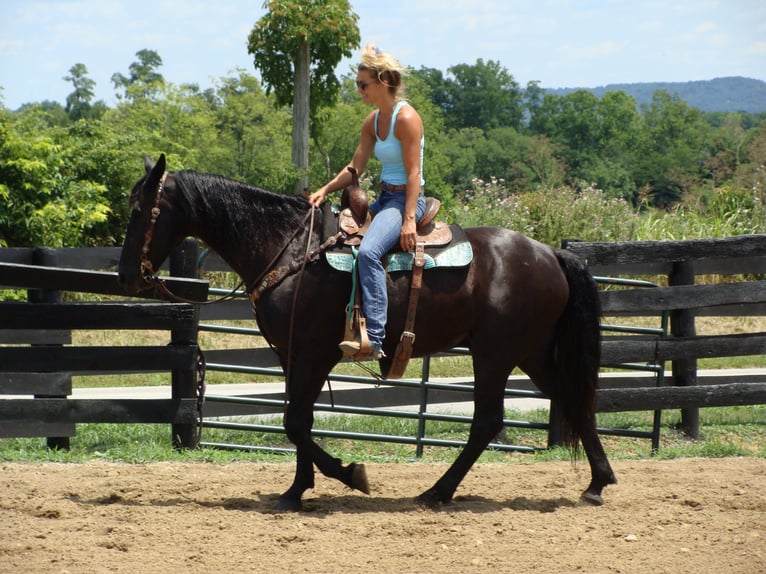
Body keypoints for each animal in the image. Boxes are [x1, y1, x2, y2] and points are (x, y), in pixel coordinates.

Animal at [120, 156, 616, 512]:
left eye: (140, 210)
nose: (126, 276)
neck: (289, 248)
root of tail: (550, 254)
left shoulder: (315, 353)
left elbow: (295, 422)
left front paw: (350, 475)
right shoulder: (290, 355)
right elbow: (297, 420)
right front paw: (296, 490)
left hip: (495, 353)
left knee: (488, 421)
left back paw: (438, 492)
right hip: (529, 352)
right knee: (571, 400)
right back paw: (597, 482)